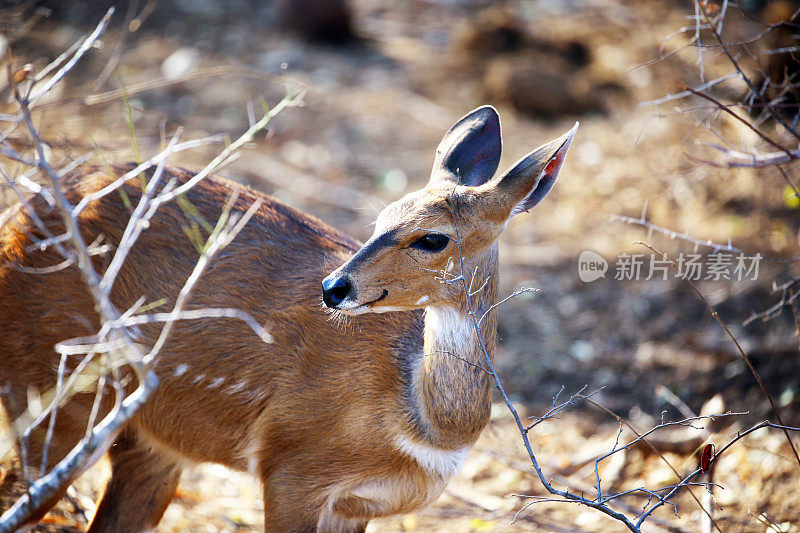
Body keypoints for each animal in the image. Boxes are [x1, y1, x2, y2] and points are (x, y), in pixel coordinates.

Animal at [0, 106, 576, 528]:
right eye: (380, 219)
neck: (427, 426)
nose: (334, 287)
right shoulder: (290, 472)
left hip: (151, 443)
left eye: (432, 238)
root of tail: (19, 216)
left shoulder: (354, 505)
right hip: (52, 392)